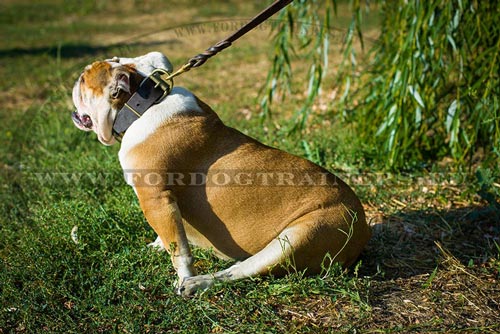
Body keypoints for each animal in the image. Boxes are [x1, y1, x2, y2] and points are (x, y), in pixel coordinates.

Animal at [71, 52, 372, 298]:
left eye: (84, 80)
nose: (75, 81)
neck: (142, 106)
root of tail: (361, 228)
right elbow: (170, 236)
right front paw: (155, 245)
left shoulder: (155, 198)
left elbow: (179, 250)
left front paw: (183, 276)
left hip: (299, 236)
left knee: (243, 270)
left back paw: (197, 284)